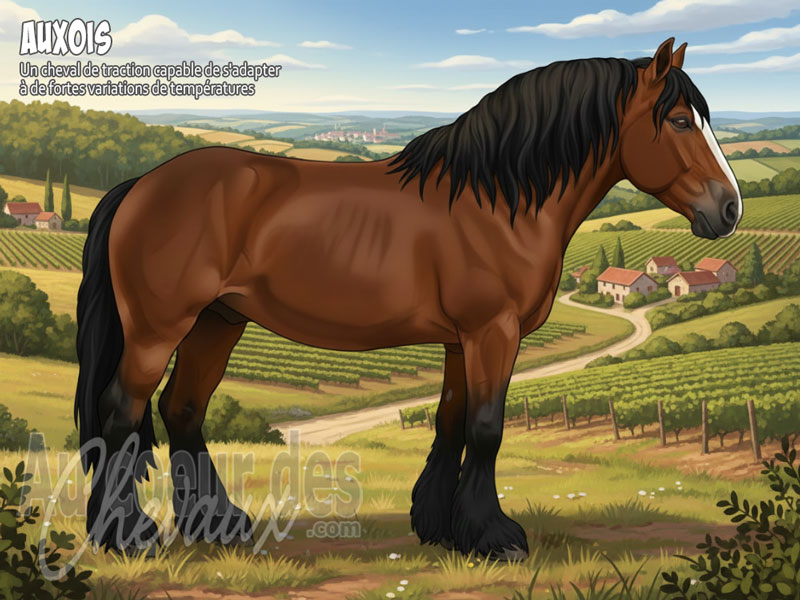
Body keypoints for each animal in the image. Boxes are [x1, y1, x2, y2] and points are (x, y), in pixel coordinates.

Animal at [75, 37, 741, 559]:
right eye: (679, 121)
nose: (729, 208)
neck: (496, 202)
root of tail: (142, 185)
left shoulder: (461, 340)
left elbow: (451, 421)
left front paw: (443, 528)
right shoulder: (492, 331)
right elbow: (487, 427)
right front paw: (494, 537)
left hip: (218, 321)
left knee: (184, 409)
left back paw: (219, 526)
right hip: (159, 328)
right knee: (122, 412)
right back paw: (127, 535)